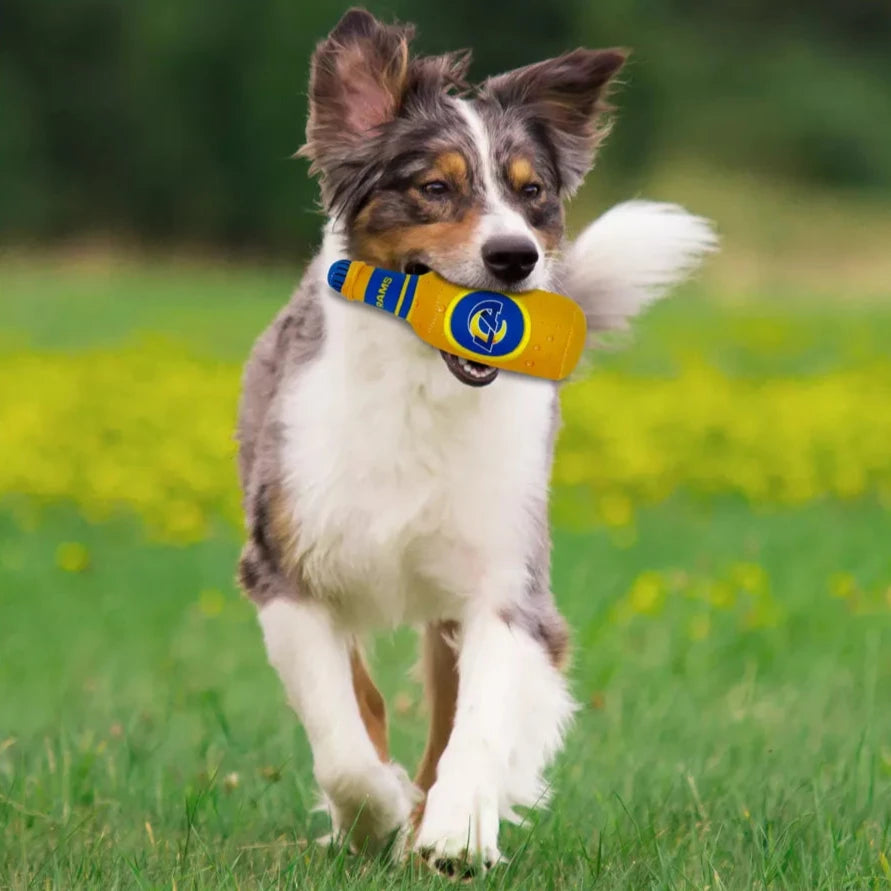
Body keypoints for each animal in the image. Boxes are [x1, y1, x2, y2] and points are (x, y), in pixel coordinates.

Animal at [235, 5, 712, 872]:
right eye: (434, 188)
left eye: (531, 194)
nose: (513, 257)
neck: (424, 388)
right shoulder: (286, 568)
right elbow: (344, 739)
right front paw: (378, 817)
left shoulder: (505, 583)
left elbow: (478, 724)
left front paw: (456, 829)